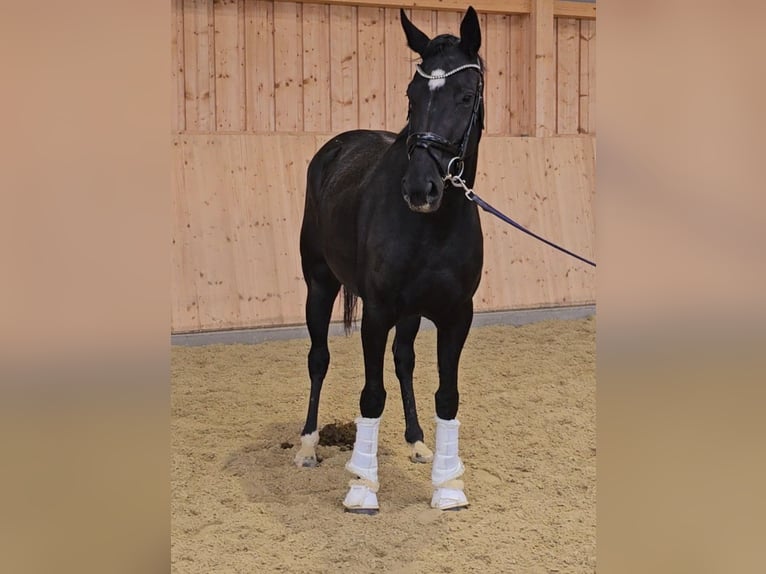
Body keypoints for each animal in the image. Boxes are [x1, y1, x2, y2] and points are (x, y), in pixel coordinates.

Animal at [296, 7, 486, 512]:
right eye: (411, 95)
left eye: (465, 96)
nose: (421, 189)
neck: (432, 227)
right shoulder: (378, 311)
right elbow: (370, 395)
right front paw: (362, 486)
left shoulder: (456, 316)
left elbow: (447, 396)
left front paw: (447, 485)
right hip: (319, 286)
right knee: (318, 358)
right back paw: (307, 445)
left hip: (411, 312)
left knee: (403, 360)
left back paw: (417, 441)